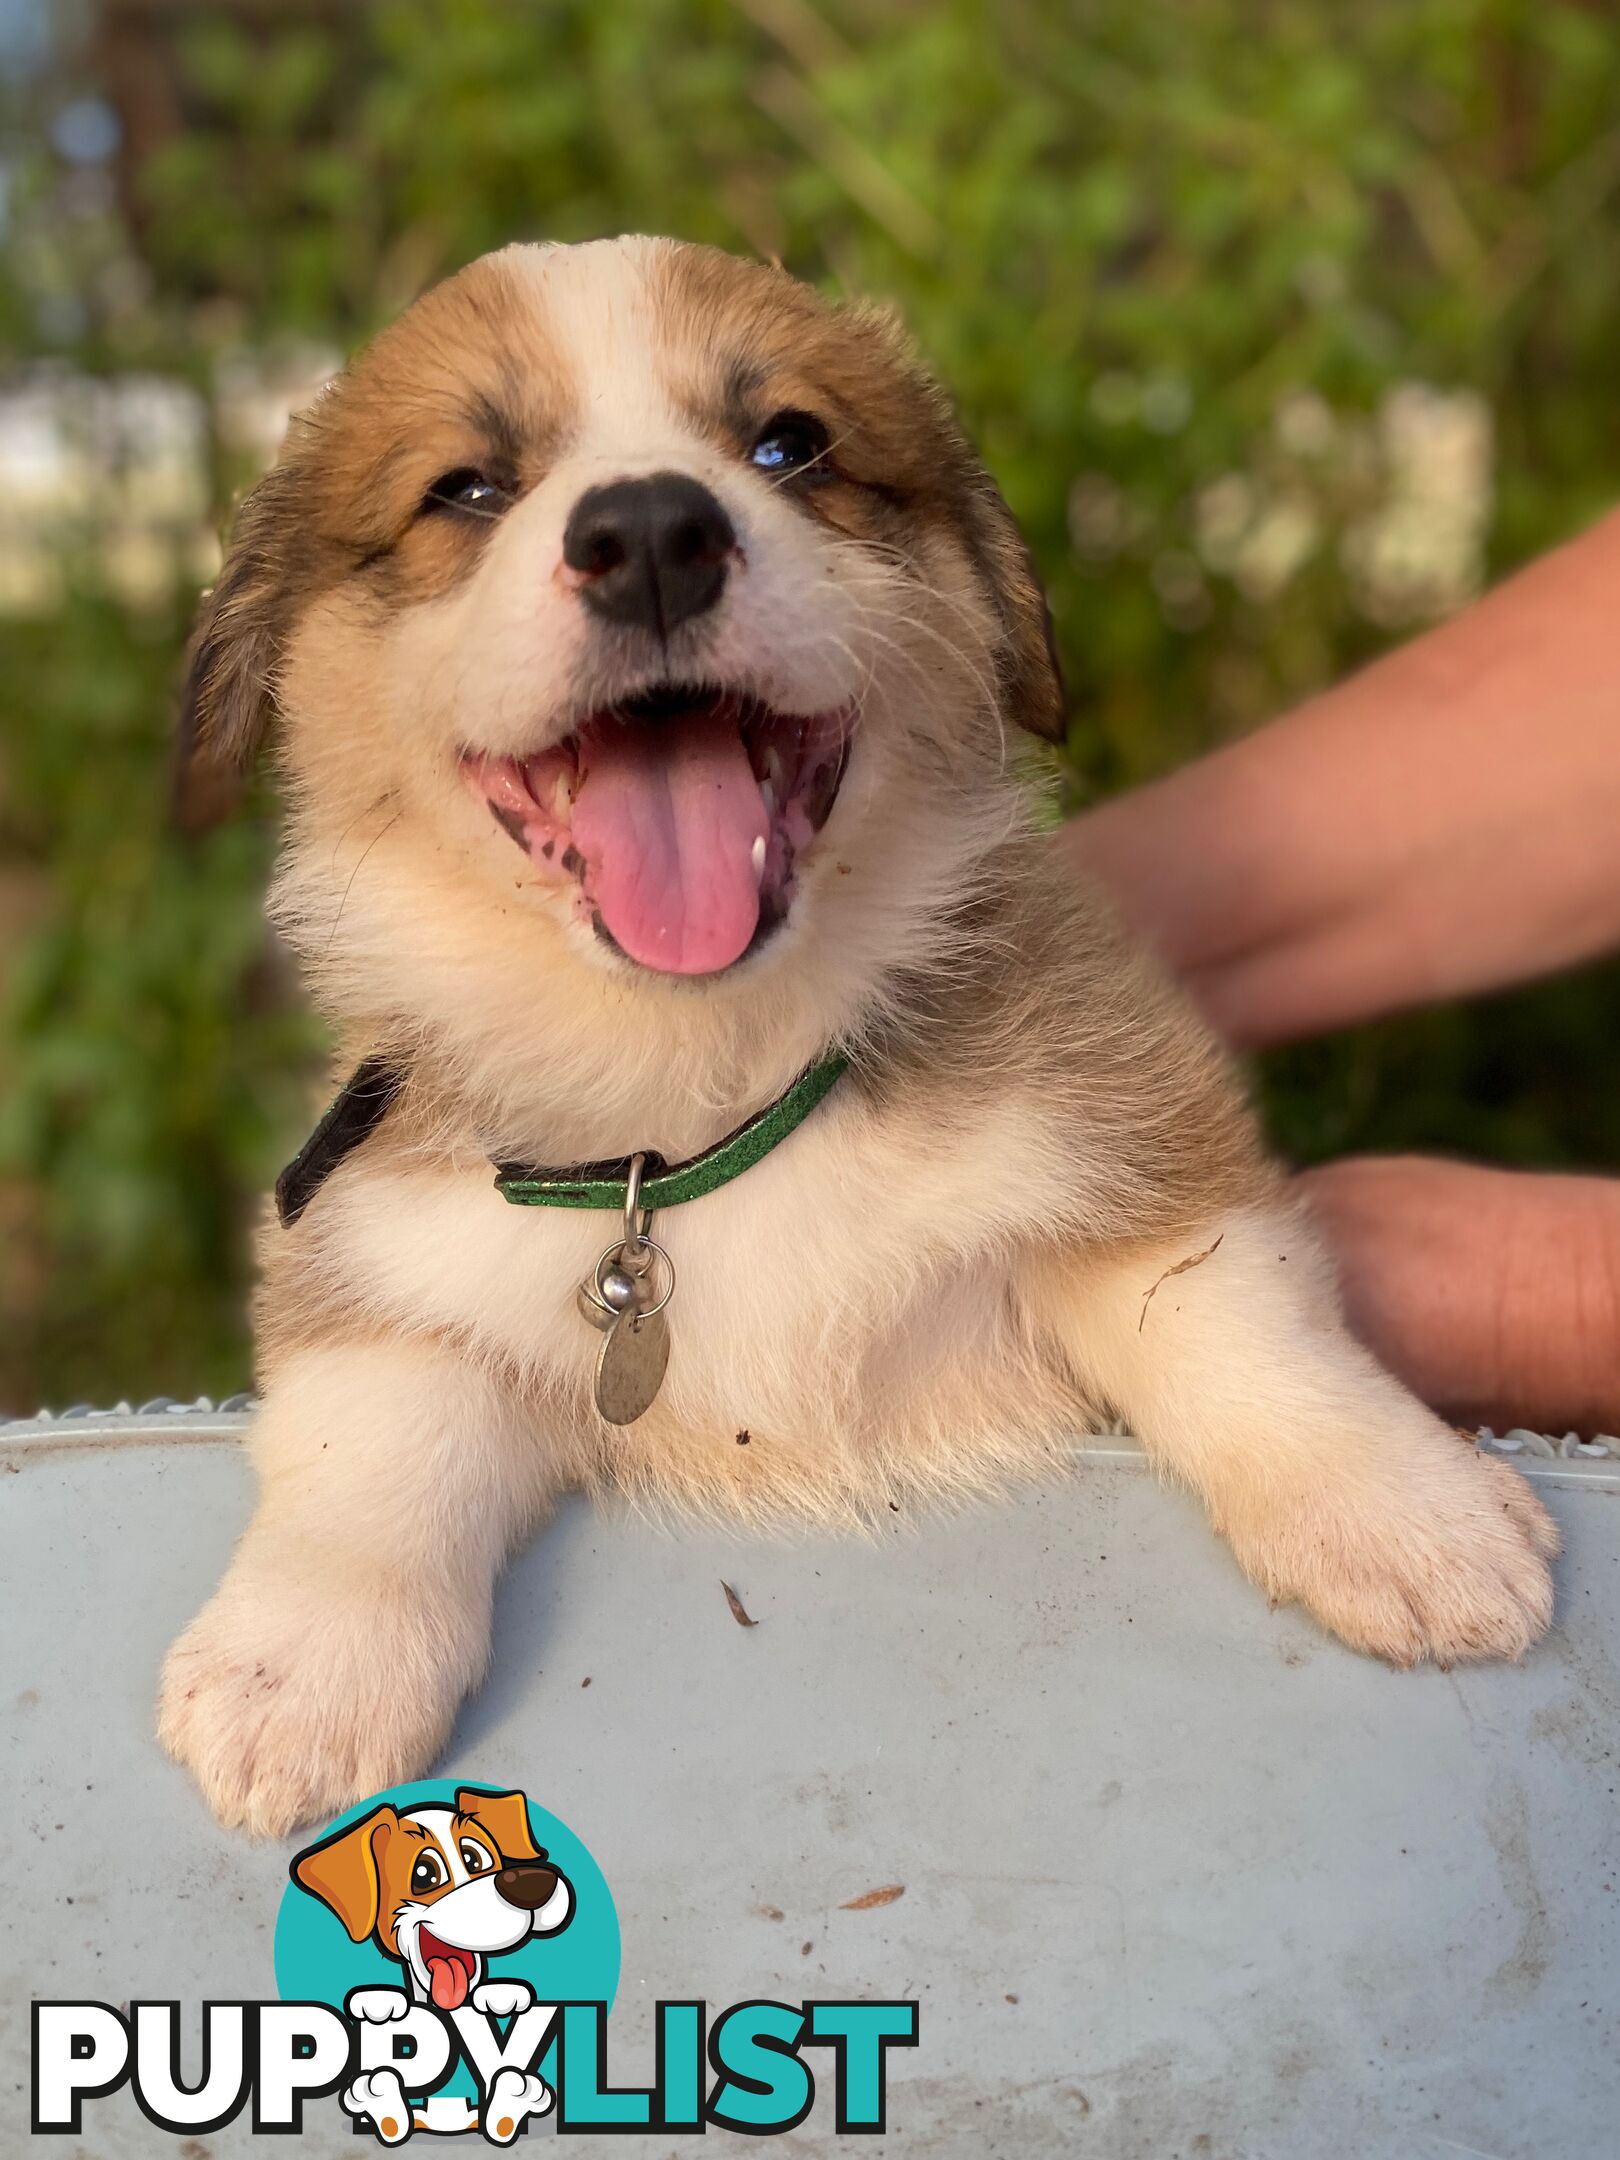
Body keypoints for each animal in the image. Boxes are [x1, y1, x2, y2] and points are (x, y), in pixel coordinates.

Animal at [162, 240, 1563, 1840]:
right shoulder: (391, 1250)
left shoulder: (1124, 1131)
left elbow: (1231, 1312)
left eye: (792, 444)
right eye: (464, 486)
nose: (652, 531)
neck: (710, 1088)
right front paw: (296, 1670)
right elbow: (367, 1436)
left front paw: (1413, 1515)